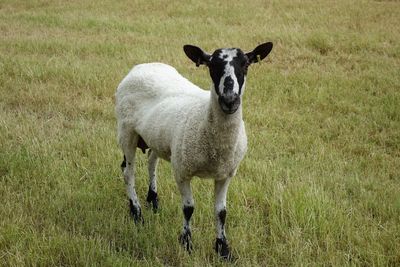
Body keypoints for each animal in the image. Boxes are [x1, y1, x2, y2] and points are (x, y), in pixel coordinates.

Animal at [114, 43, 274, 260]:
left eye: (246, 64)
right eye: (211, 65)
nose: (229, 100)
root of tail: (141, 66)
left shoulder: (226, 174)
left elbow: (221, 212)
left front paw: (223, 249)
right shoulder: (182, 171)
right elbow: (188, 208)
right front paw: (187, 244)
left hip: (158, 137)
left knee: (151, 161)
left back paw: (153, 200)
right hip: (127, 132)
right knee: (128, 172)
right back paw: (137, 213)